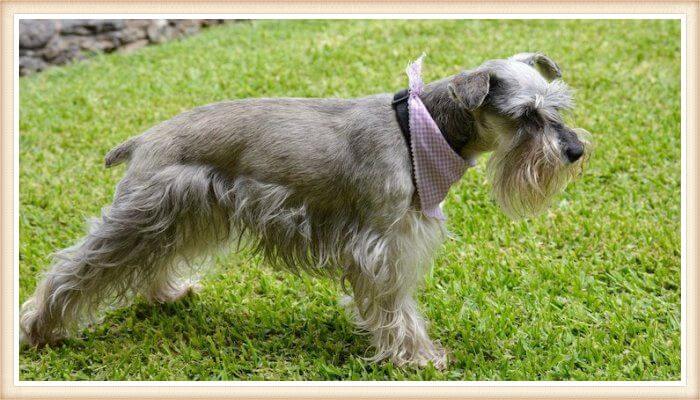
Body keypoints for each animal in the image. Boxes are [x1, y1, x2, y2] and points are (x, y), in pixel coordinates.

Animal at [20, 52, 592, 368]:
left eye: (557, 107)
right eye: (527, 116)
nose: (574, 151)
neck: (421, 129)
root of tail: (142, 140)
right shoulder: (383, 246)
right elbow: (396, 307)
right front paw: (420, 358)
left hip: (180, 216)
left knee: (152, 259)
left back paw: (167, 293)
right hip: (144, 214)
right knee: (76, 269)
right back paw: (39, 330)